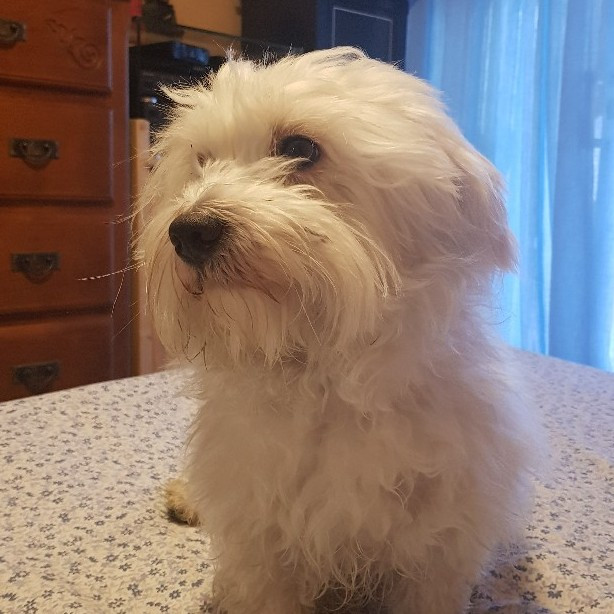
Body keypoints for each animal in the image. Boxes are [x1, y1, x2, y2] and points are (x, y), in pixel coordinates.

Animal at [136, 47, 538, 614]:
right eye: (202, 160)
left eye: (299, 147)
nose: (189, 232)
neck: (323, 371)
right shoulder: (263, 543)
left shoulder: (435, 551)